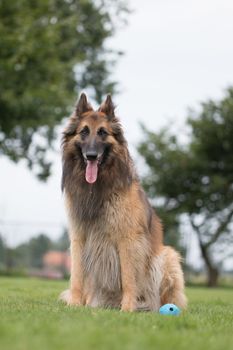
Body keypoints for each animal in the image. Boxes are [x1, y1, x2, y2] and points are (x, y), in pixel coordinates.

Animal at [60, 93, 187, 312]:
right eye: (84, 132)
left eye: (102, 132)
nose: (91, 156)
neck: (98, 188)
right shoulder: (79, 238)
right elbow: (76, 276)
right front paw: (75, 304)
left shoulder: (128, 240)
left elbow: (128, 278)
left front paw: (127, 308)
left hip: (167, 257)